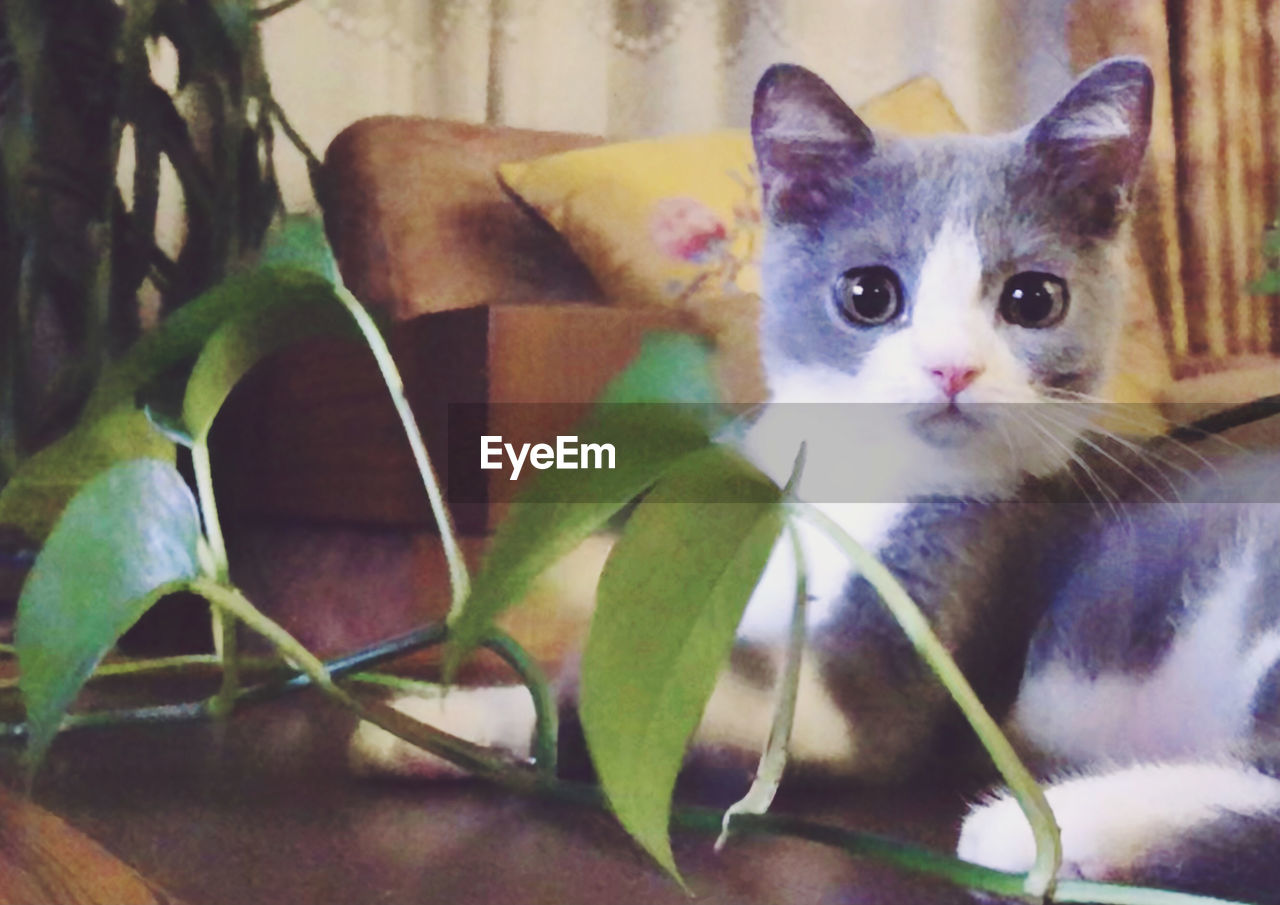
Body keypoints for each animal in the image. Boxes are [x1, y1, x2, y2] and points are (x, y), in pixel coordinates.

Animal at [355, 60, 1280, 901]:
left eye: (1033, 299)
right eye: (869, 293)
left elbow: (690, 703)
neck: (852, 483)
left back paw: (1056, 824)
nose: (952, 367)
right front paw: (435, 718)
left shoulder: (928, 631)